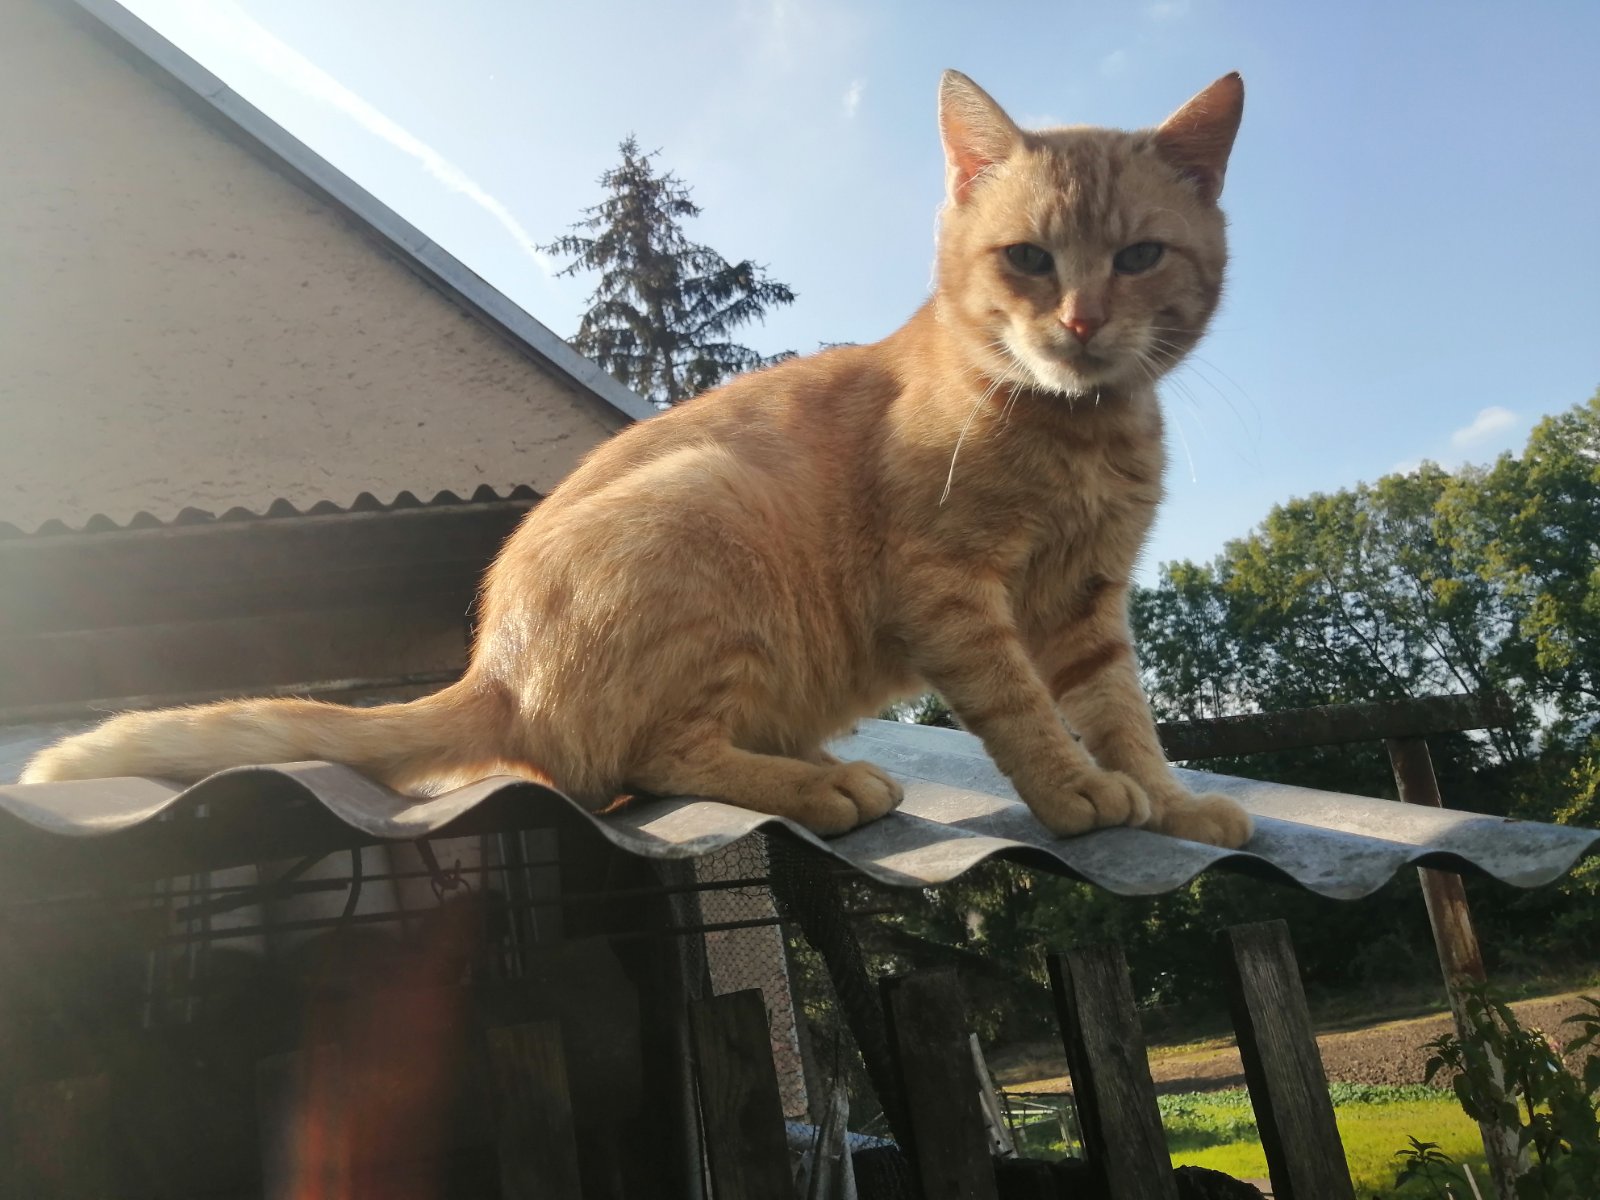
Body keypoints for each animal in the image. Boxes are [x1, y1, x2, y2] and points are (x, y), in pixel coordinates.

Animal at [25, 71, 1253, 849]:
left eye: (1138, 258)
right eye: (1029, 260)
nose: (1082, 324)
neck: (1078, 425)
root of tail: (491, 673)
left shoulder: (1087, 603)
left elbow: (1121, 713)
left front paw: (1165, 800)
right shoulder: (951, 587)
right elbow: (1023, 708)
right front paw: (1077, 790)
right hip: (703, 505)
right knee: (646, 761)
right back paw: (824, 783)